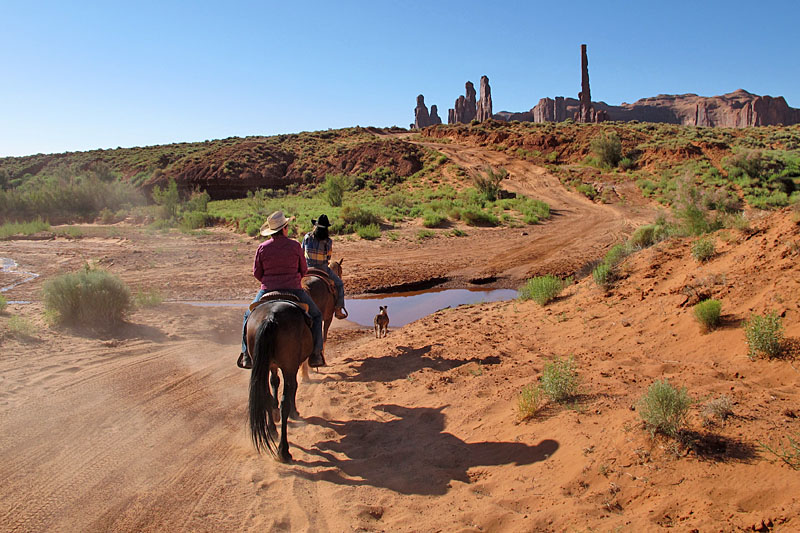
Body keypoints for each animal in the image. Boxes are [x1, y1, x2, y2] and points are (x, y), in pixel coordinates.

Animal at [247, 300, 312, 462]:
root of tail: (270, 317)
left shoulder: (272, 366)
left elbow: (274, 382)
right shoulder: (291, 367)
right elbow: (293, 388)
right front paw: (295, 412)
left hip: (261, 364)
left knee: (264, 396)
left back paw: (272, 430)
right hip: (288, 365)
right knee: (284, 403)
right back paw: (284, 450)